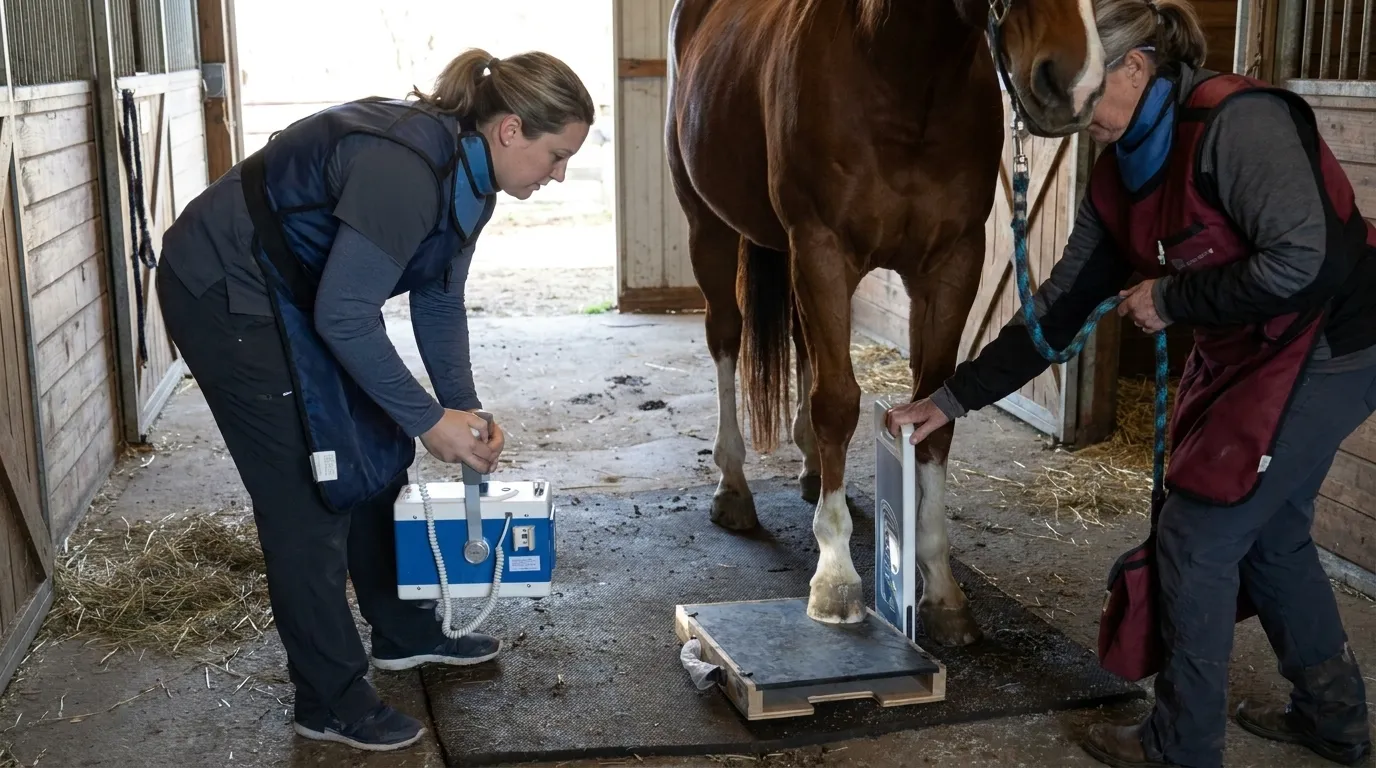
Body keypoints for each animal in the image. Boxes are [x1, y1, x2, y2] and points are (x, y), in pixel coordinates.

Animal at [665, 0, 1105, 647]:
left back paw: (810, 469)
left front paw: (941, 590)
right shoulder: (821, 248)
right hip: (709, 227)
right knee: (726, 336)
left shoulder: (953, 262)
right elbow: (837, 403)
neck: (902, 73)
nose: (1075, 81)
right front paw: (836, 579)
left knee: (800, 344)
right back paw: (734, 488)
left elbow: (934, 412)